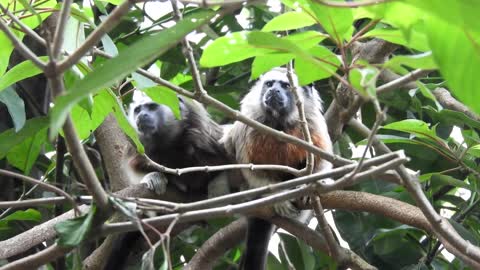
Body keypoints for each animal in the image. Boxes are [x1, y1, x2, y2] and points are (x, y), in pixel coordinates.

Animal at [222, 67, 332, 270]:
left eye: (286, 85)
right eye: (269, 84)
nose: (274, 90)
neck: (280, 122)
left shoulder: (313, 123)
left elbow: (323, 162)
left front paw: (310, 187)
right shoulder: (248, 123)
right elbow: (249, 168)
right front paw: (278, 198)